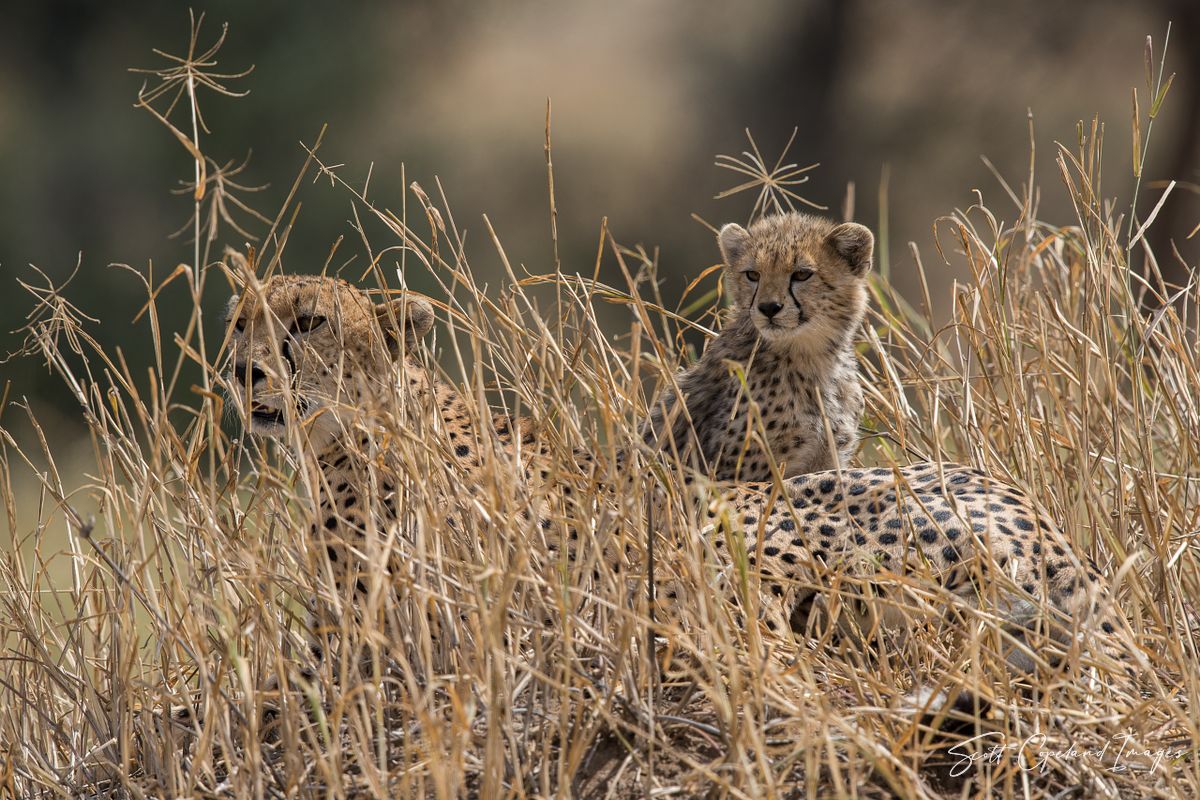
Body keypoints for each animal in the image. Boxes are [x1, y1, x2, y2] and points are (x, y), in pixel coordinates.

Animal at [222, 273, 1133, 722]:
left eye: (308, 322)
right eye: (240, 320)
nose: (242, 370)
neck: (360, 426)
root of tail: (1041, 522)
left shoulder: (388, 633)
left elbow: (282, 681)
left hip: (742, 544)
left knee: (774, 656)